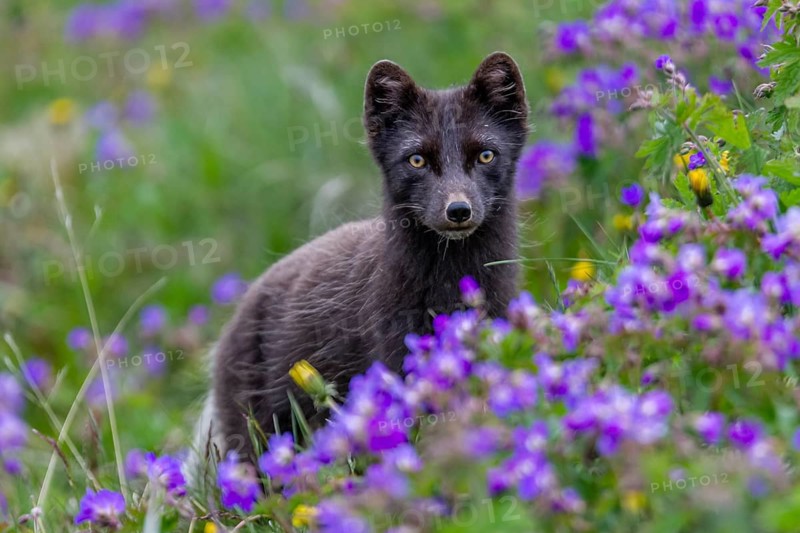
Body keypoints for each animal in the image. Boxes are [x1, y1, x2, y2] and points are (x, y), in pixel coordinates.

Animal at [195, 52, 529, 467]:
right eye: (416, 159)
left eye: (485, 154)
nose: (458, 209)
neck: (452, 282)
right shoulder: (393, 352)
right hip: (256, 424)